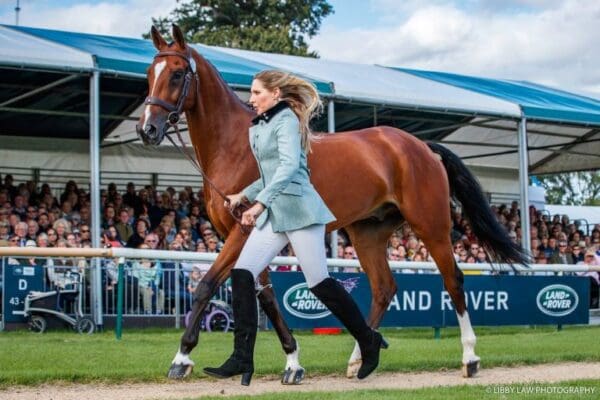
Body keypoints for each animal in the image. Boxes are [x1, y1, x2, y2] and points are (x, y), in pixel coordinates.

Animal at [137, 24, 528, 382]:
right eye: (149, 74)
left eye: (176, 73)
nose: (147, 130)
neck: (236, 145)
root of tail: (421, 147)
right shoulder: (247, 237)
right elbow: (265, 296)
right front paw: (293, 362)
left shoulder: (242, 231)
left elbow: (207, 286)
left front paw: (181, 359)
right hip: (367, 233)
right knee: (384, 288)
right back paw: (360, 358)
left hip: (431, 226)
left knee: (453, 280)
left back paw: (469, 358)